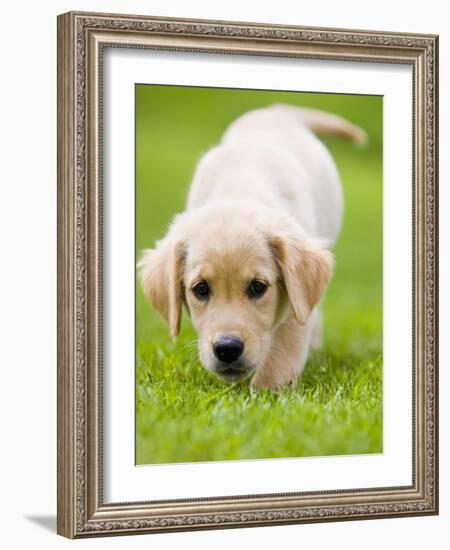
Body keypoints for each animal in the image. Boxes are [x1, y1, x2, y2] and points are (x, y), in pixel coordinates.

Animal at [138, 103, 366, 388]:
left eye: (258, 287)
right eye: (200, 289)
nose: (227, 349)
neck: (240, 187)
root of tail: (274, 111)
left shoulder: (296, 301)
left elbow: (282, 352)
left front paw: (267, 392)